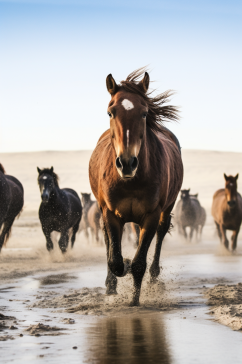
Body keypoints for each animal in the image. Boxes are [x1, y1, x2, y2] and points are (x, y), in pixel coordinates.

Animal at [89, 69, 183, 308]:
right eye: (110, 112)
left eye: (144, 113)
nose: (127, 163)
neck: (131, 181)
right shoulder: (111, 213)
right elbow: (115, 260)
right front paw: (123, 266)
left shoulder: (151, 215)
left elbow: (140, 261)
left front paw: (134, 299)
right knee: (108, 242)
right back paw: (111, 285)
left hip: (166, 209)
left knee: (160, 235)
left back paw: (154, 278)